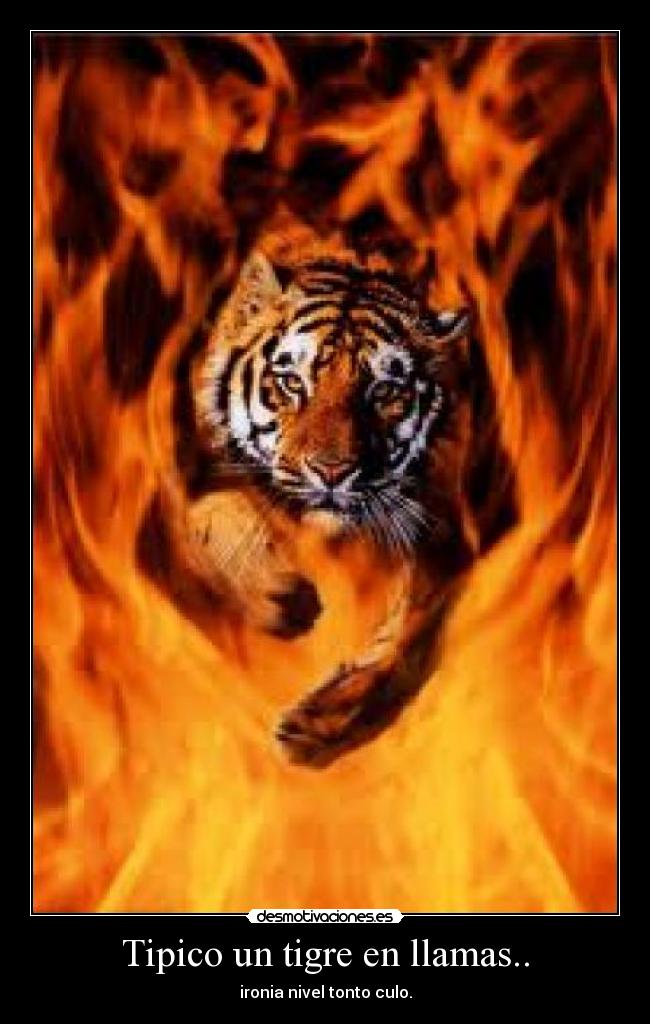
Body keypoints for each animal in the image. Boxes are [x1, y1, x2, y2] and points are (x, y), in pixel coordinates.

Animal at [169, 250, 479, 767]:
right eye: (292, 382)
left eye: (384, 392)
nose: (332, 472)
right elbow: (211, 516)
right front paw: (282, 597)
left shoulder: (440, 533)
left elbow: (404, 636)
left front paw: (323, 720)